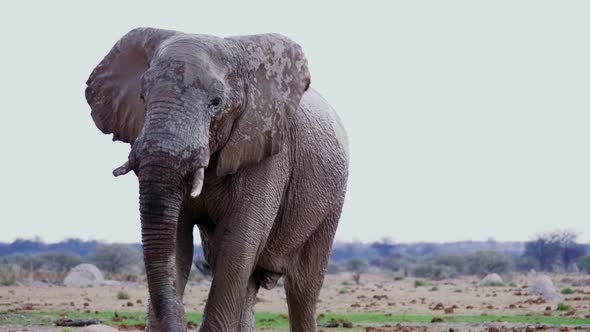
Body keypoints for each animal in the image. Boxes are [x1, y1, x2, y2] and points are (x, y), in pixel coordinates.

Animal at [85, 27, 350, 332]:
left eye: (216, 103)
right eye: (142, 96)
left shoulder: (268, 151)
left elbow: (239, 244)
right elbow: (177, 243)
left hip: (331, 203)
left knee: (303, 289)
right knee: (250, 284)